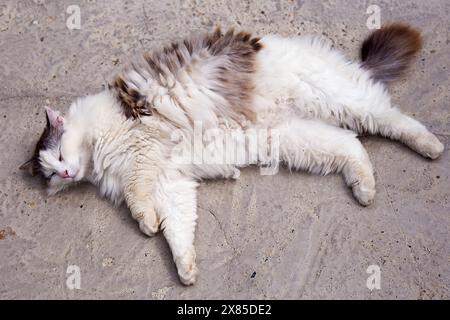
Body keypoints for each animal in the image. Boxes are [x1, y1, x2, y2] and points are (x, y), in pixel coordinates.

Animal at [20, 25, 442, 284]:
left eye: (59, 156)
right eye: (51, 172)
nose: (66, 175)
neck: (97, 147)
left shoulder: (144, 153)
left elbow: (137, 197)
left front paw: (145, 223)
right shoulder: (170, 181)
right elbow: (177, 229)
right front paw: (185, 269)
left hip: (342, 100)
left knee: (394, 120)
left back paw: (431, 146)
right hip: (295, 140)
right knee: (351, 145)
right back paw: (364, 190)